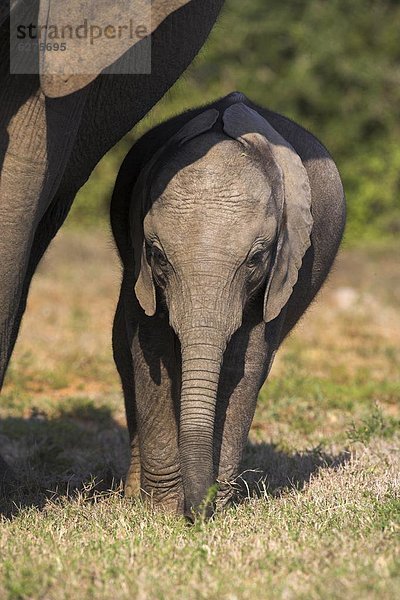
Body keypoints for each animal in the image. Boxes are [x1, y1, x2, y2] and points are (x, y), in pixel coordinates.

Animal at [111, 91, 346, 516]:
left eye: (255, 259)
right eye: (157, 255)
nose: (196, 514)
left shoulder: (284, 268)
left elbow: (244, 362)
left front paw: (213, 503)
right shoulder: (140, 267)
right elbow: (149, 349)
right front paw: (162, 510)